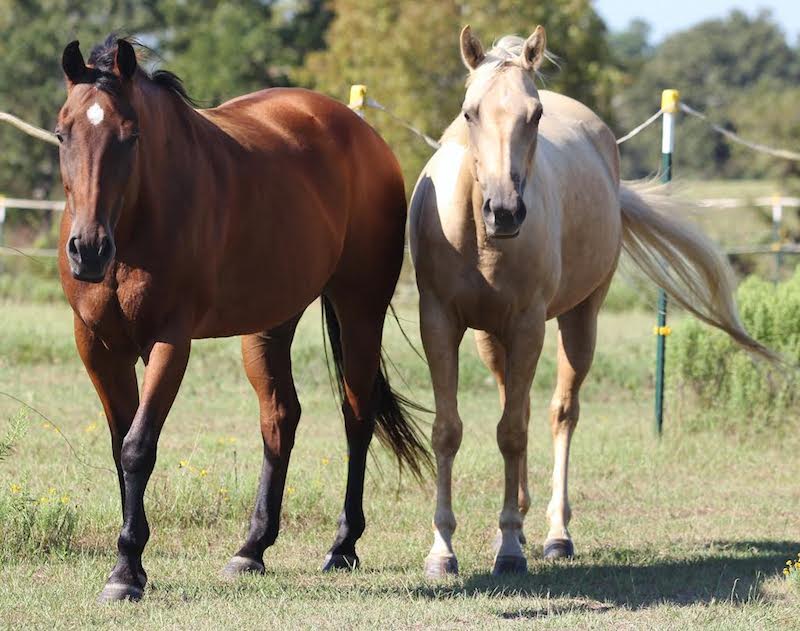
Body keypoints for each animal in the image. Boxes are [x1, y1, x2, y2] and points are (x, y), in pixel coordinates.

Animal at [56, 35, 432, 604]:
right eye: (62, 133)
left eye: (130, 136)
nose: (89, 251)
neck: (139, 221)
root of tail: (364, 134)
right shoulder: (96, 345)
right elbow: (120, 447)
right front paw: (131, 566)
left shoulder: (171, 342)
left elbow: (139, 448)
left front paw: (125, 570)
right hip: (270, 323)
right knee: (280, 418)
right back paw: (252, 548)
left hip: (360, 309)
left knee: (357, 416)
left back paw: (342, 545)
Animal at [410, 24, 772, 576]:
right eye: (469, 112)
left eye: (535, 114)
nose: (505, 211)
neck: (479, 238)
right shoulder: (440, 323)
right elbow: (448, 431)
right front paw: (442, 550)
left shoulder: (529, 325)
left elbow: (512, 433)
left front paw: (510, 547)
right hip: (490, 339)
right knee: (517, 406)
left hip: (580, 320)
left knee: (560, 413)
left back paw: (555, 534)